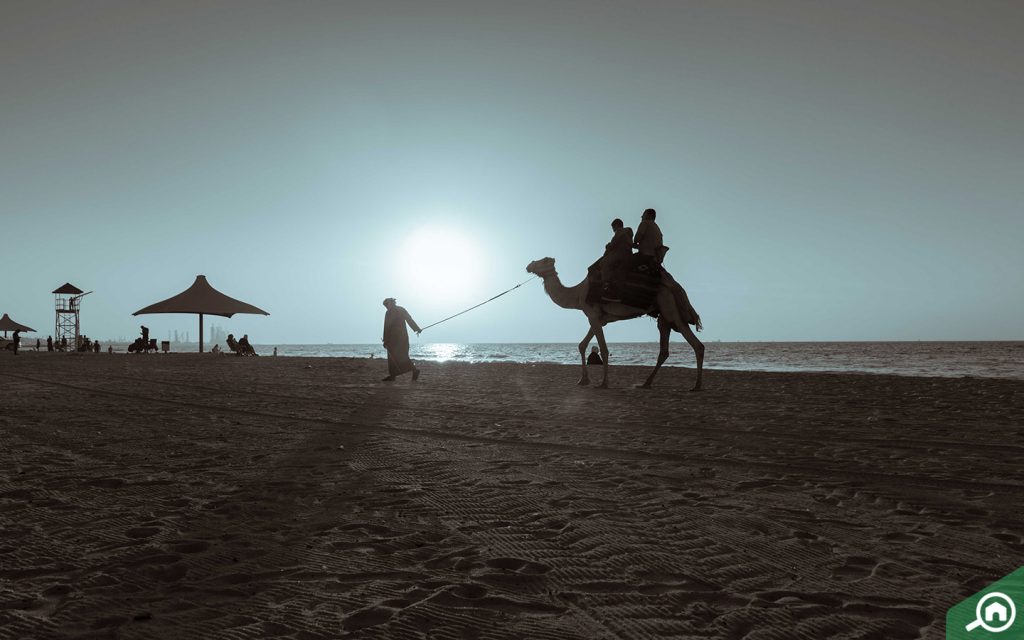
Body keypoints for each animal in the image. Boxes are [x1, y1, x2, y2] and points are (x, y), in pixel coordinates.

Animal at [528, 258, 704, 389]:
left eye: (543, 260)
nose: (529, 265)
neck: (577, 294)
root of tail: (675, 286)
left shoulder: (592, 314)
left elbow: (604, 349)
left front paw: (603, 383)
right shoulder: (598, 319)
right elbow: (582, 345)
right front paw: (583, 380)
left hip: (669, 307)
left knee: (696, 344)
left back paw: (696, 385)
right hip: (664, 315)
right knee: (665, 349)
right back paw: (646, 384)